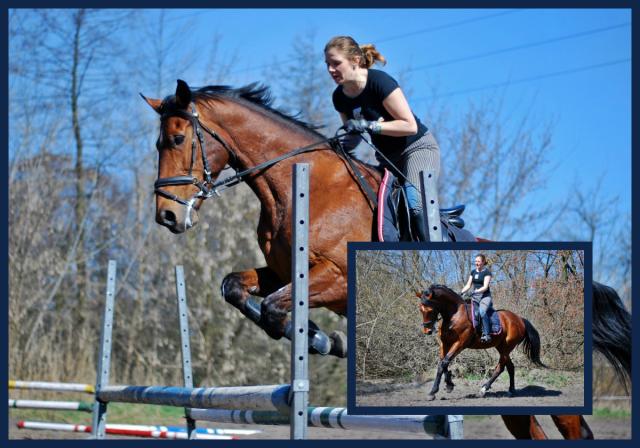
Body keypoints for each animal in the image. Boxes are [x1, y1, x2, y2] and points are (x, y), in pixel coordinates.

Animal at [416, 284, 544, 400]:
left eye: (430, 309)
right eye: (420, 309)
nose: (427, 330)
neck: (454, 315)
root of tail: (519, 319)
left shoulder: (460, 344)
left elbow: (444, 362)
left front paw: (434, 391)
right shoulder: (445, 343)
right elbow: (442, 363)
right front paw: (448, 385)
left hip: (506, 348)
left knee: (500, 368)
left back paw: (484, 389)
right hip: (501, 347)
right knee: (510, 367)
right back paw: (511, 390)